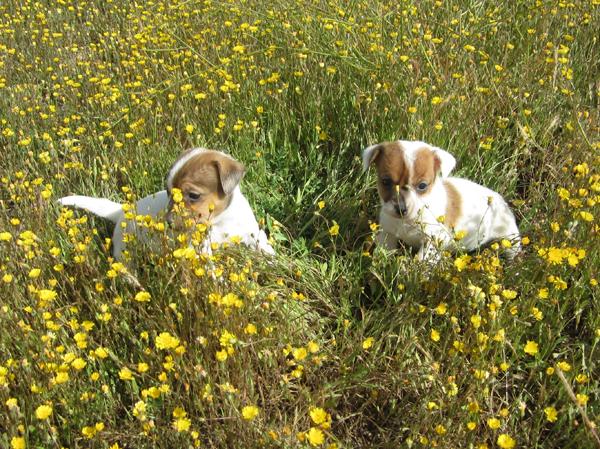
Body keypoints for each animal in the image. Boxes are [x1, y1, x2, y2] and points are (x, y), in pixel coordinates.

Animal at [57, 147, 274, 260]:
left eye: (193, 195)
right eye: (169, 193)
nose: (167, 223)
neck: (221, 221)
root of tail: (119, 211)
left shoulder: (251, 232)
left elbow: (261, 242)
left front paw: (273, 258)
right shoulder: (199, 247)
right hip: (124, 250)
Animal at [360, 138, 520, 260]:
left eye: (422, 185)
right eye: (385, 182)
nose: (401, 209)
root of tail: (501, 201)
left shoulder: (433, 240)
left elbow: (422, 260)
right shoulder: (388, 233)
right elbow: (384, 251)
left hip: (509, 239)